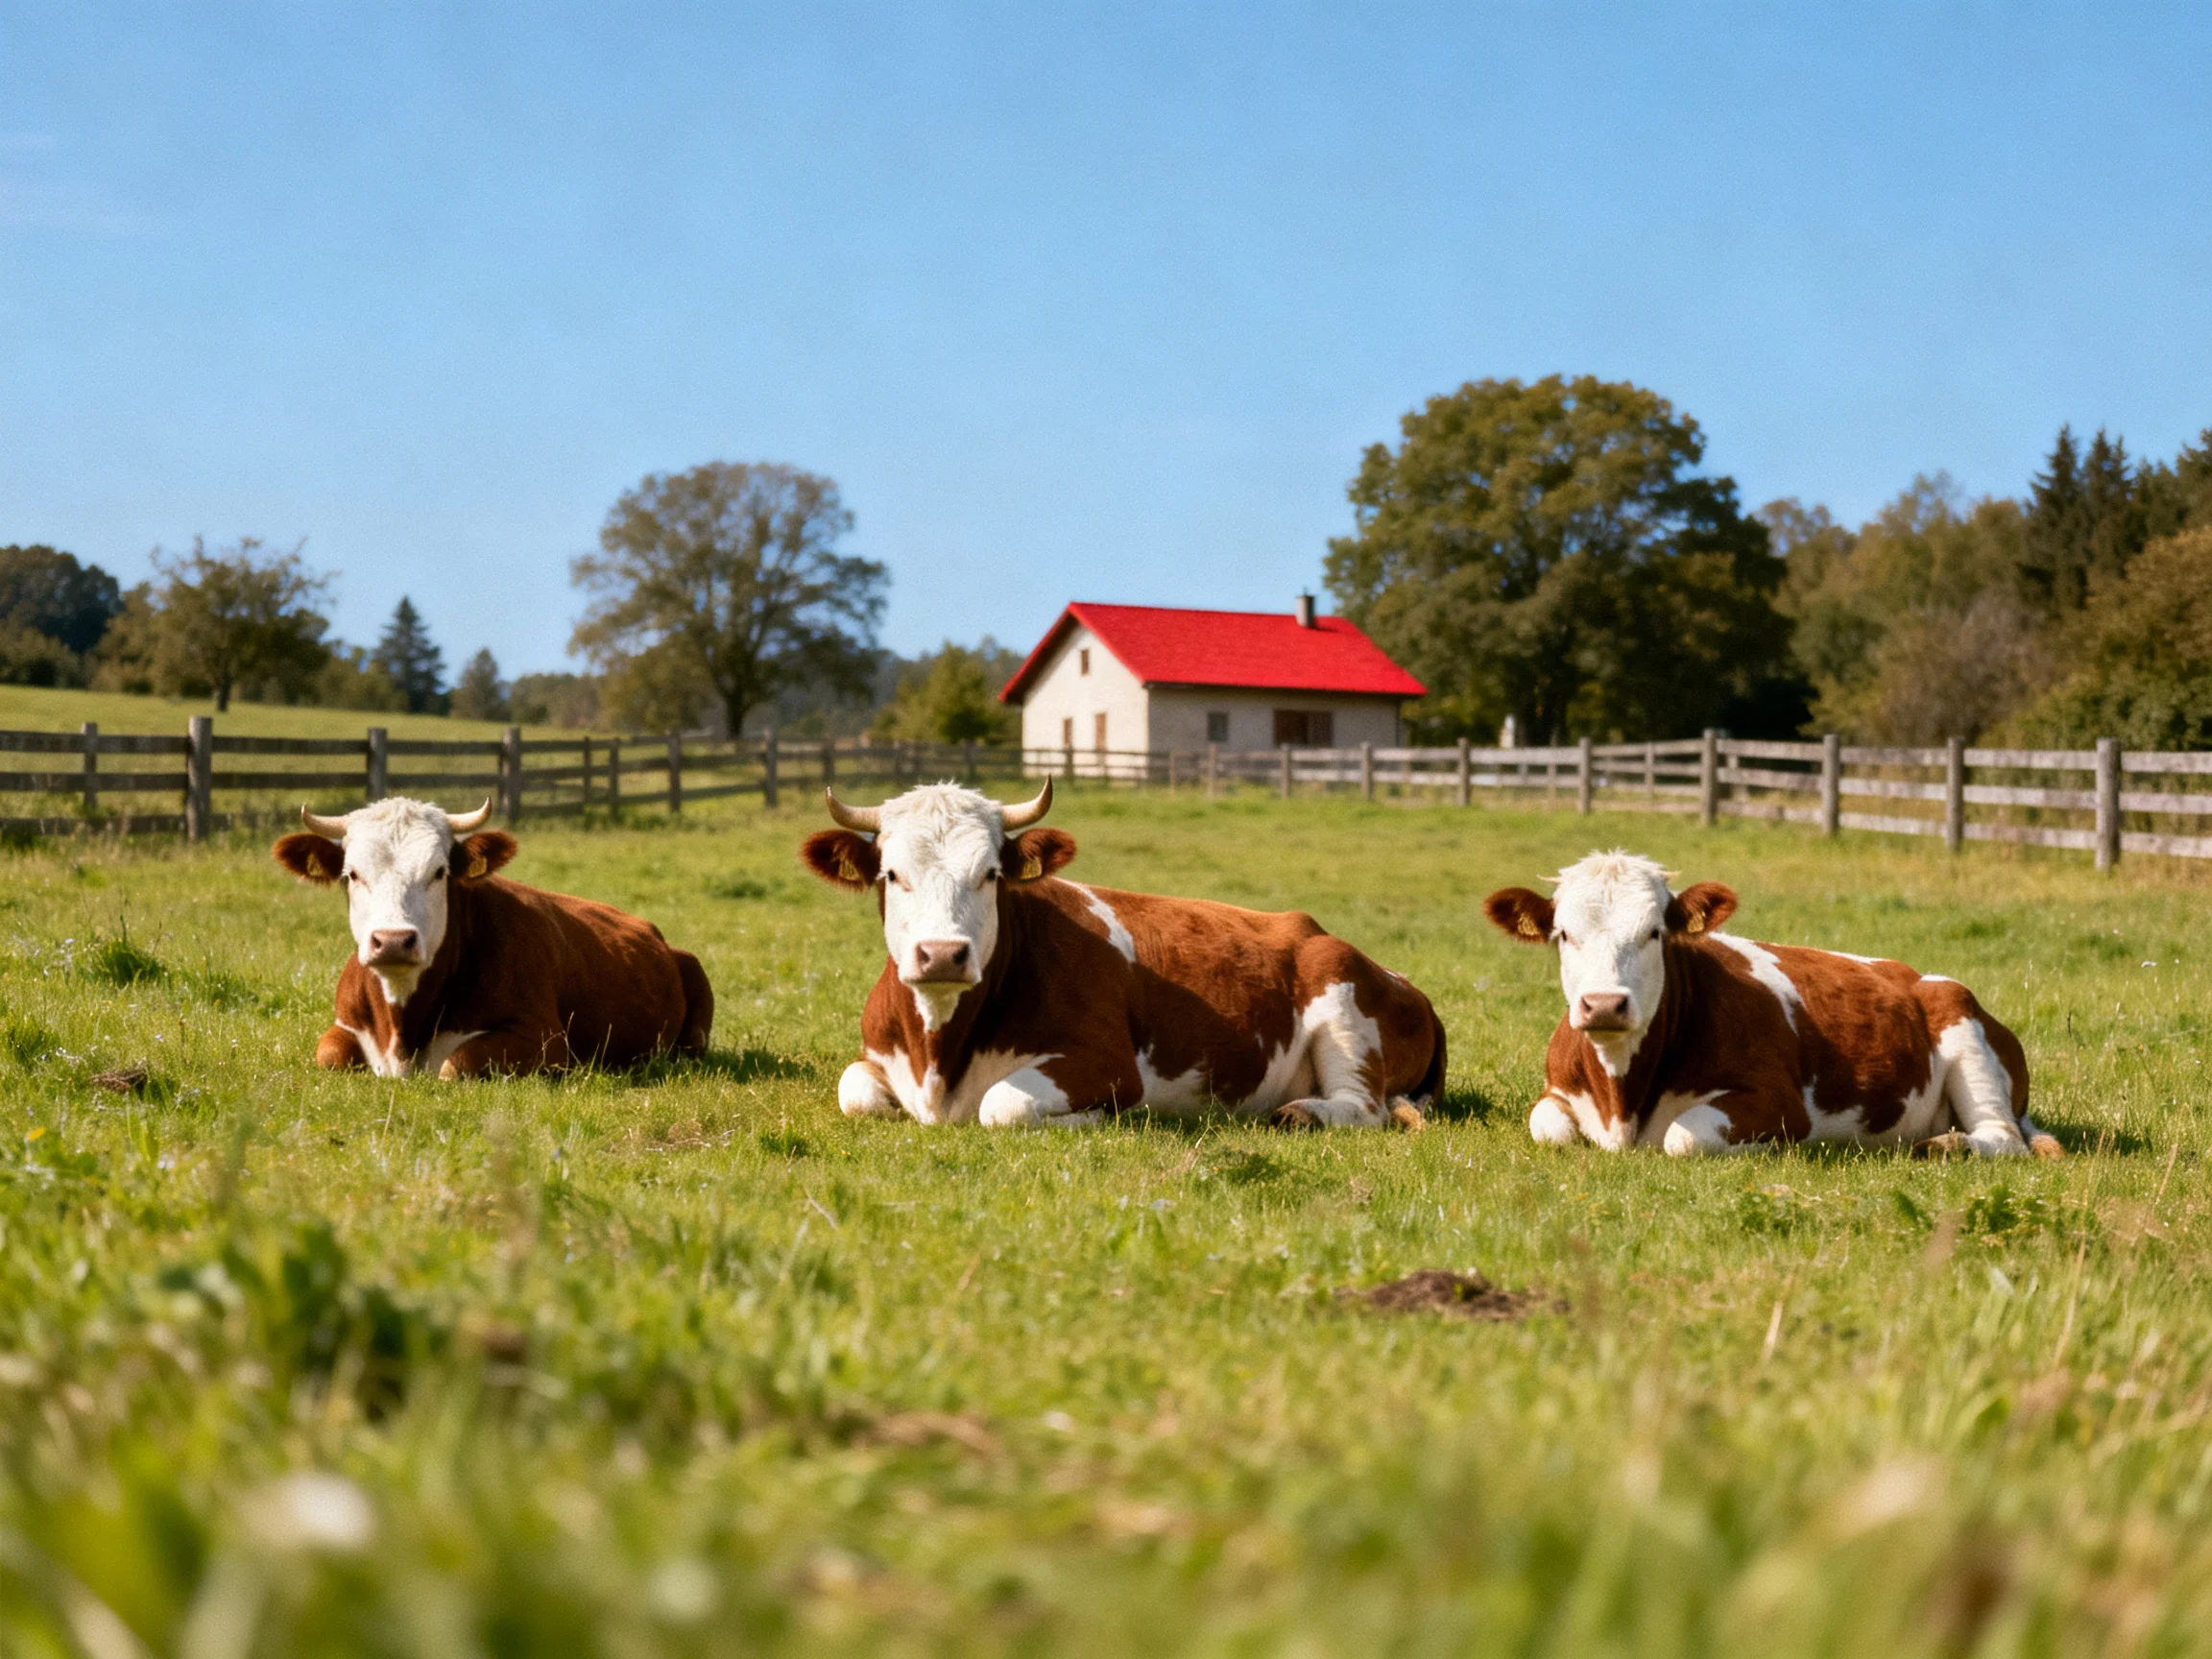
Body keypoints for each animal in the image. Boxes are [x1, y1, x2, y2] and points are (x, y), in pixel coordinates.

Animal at [272, 797, 713, 1078]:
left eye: (439, 872)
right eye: (352, 874)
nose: (393, 940)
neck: (403, 1030)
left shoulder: (545, 1042)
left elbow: (455, 1065)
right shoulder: (343, 1026)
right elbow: (330, 1054)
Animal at [799, 779, 1445, 1128]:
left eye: (990, 874)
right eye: (891, 874)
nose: (941, 954)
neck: (939, 1053)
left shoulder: (1107, 1065)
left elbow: (1001, 1104)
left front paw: (1098, 1118)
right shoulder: (874, 1058)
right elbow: (855, 1091)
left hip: (1342, 1006)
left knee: (1364, 1107)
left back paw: (1302, 1114)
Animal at [1483, 851, 2058, 1158]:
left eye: (1654, 933)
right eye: (1563, 935)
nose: (1603, 1005)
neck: (1621, 1097)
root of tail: (1918, 977)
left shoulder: (1781, 1105)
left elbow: (1683, 1136)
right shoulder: (1555, 1092)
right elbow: (1550, 1128)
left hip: (1963, 1027)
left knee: (2003, 1135)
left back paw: (1943, 1146)